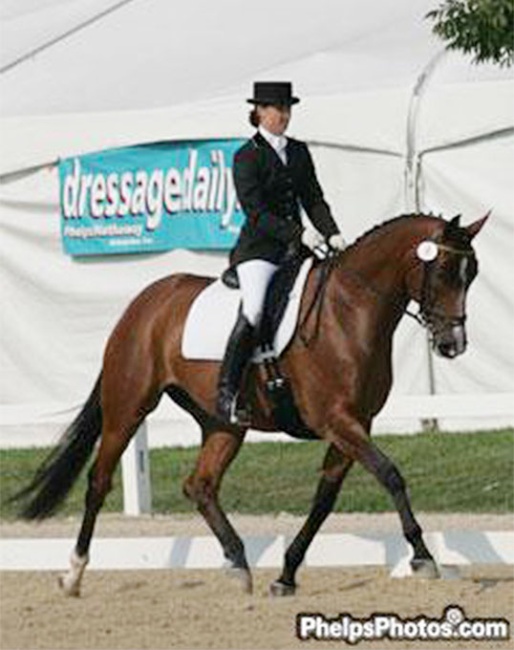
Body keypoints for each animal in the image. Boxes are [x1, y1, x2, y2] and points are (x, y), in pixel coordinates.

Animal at [16, 211, 486, 592]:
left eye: (473, 273)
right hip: (127, 408)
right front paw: (423, 557)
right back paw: (73, 574)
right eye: (444, 270)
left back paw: (239, 564)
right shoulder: (337, 420)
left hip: (223, 424)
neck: (349, 311)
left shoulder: (355, 423)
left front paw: (287, 575)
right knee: (99, 482)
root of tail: (142, 304)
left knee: (200, 484)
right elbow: (390, 474)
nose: (454, 344)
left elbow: (325, 499)